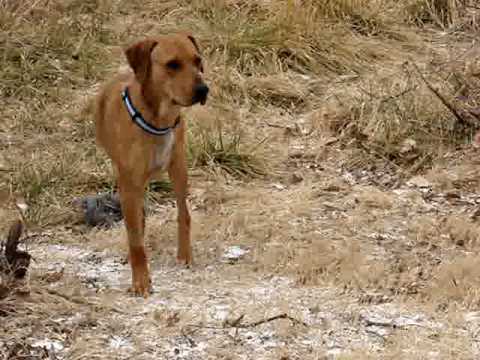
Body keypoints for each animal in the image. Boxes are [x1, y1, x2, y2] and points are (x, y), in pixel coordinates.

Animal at [94, 34, 209, 298]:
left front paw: (183, 256)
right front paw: (141, 281)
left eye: (197, 61)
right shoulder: (128, 184)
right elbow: (135, 239)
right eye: (172, 64)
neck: (158, 119)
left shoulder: (178, 168)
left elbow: (184, 215)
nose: (203, 90)